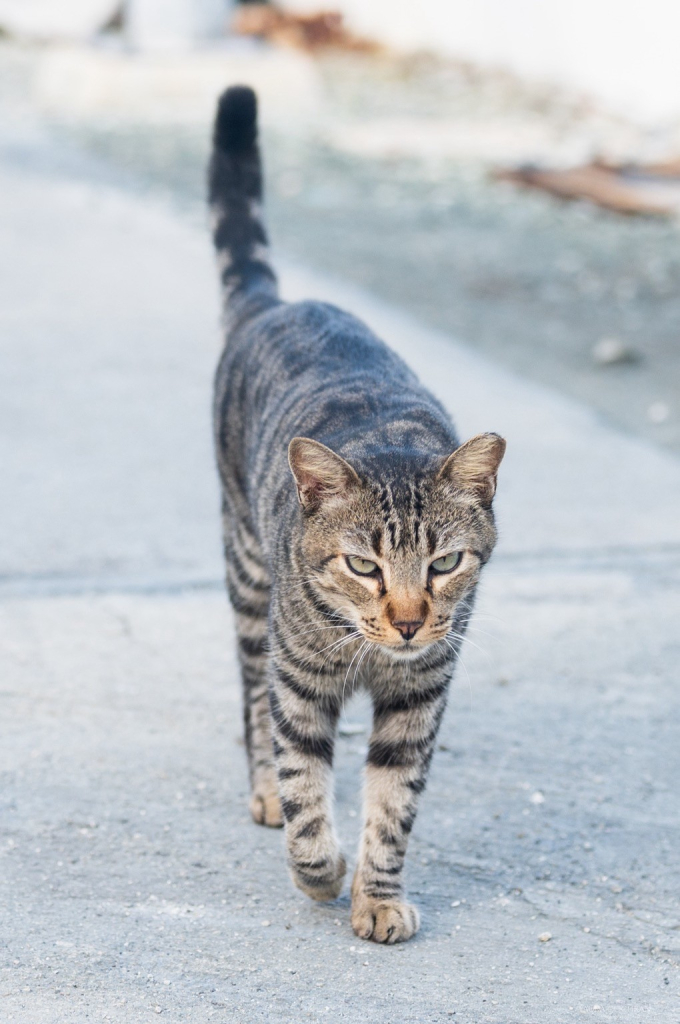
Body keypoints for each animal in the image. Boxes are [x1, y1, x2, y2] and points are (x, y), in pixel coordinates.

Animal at [208, 86, 503, 942]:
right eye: (362, 565)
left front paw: (377, 895)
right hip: (248, 580)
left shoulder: (419, 696)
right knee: (252, 696)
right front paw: (321, 870)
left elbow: (392, 805)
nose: (406, 622)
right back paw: (264, 790)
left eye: (445, 562)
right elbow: (307, 788)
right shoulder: (301, 681)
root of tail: (278, 303)